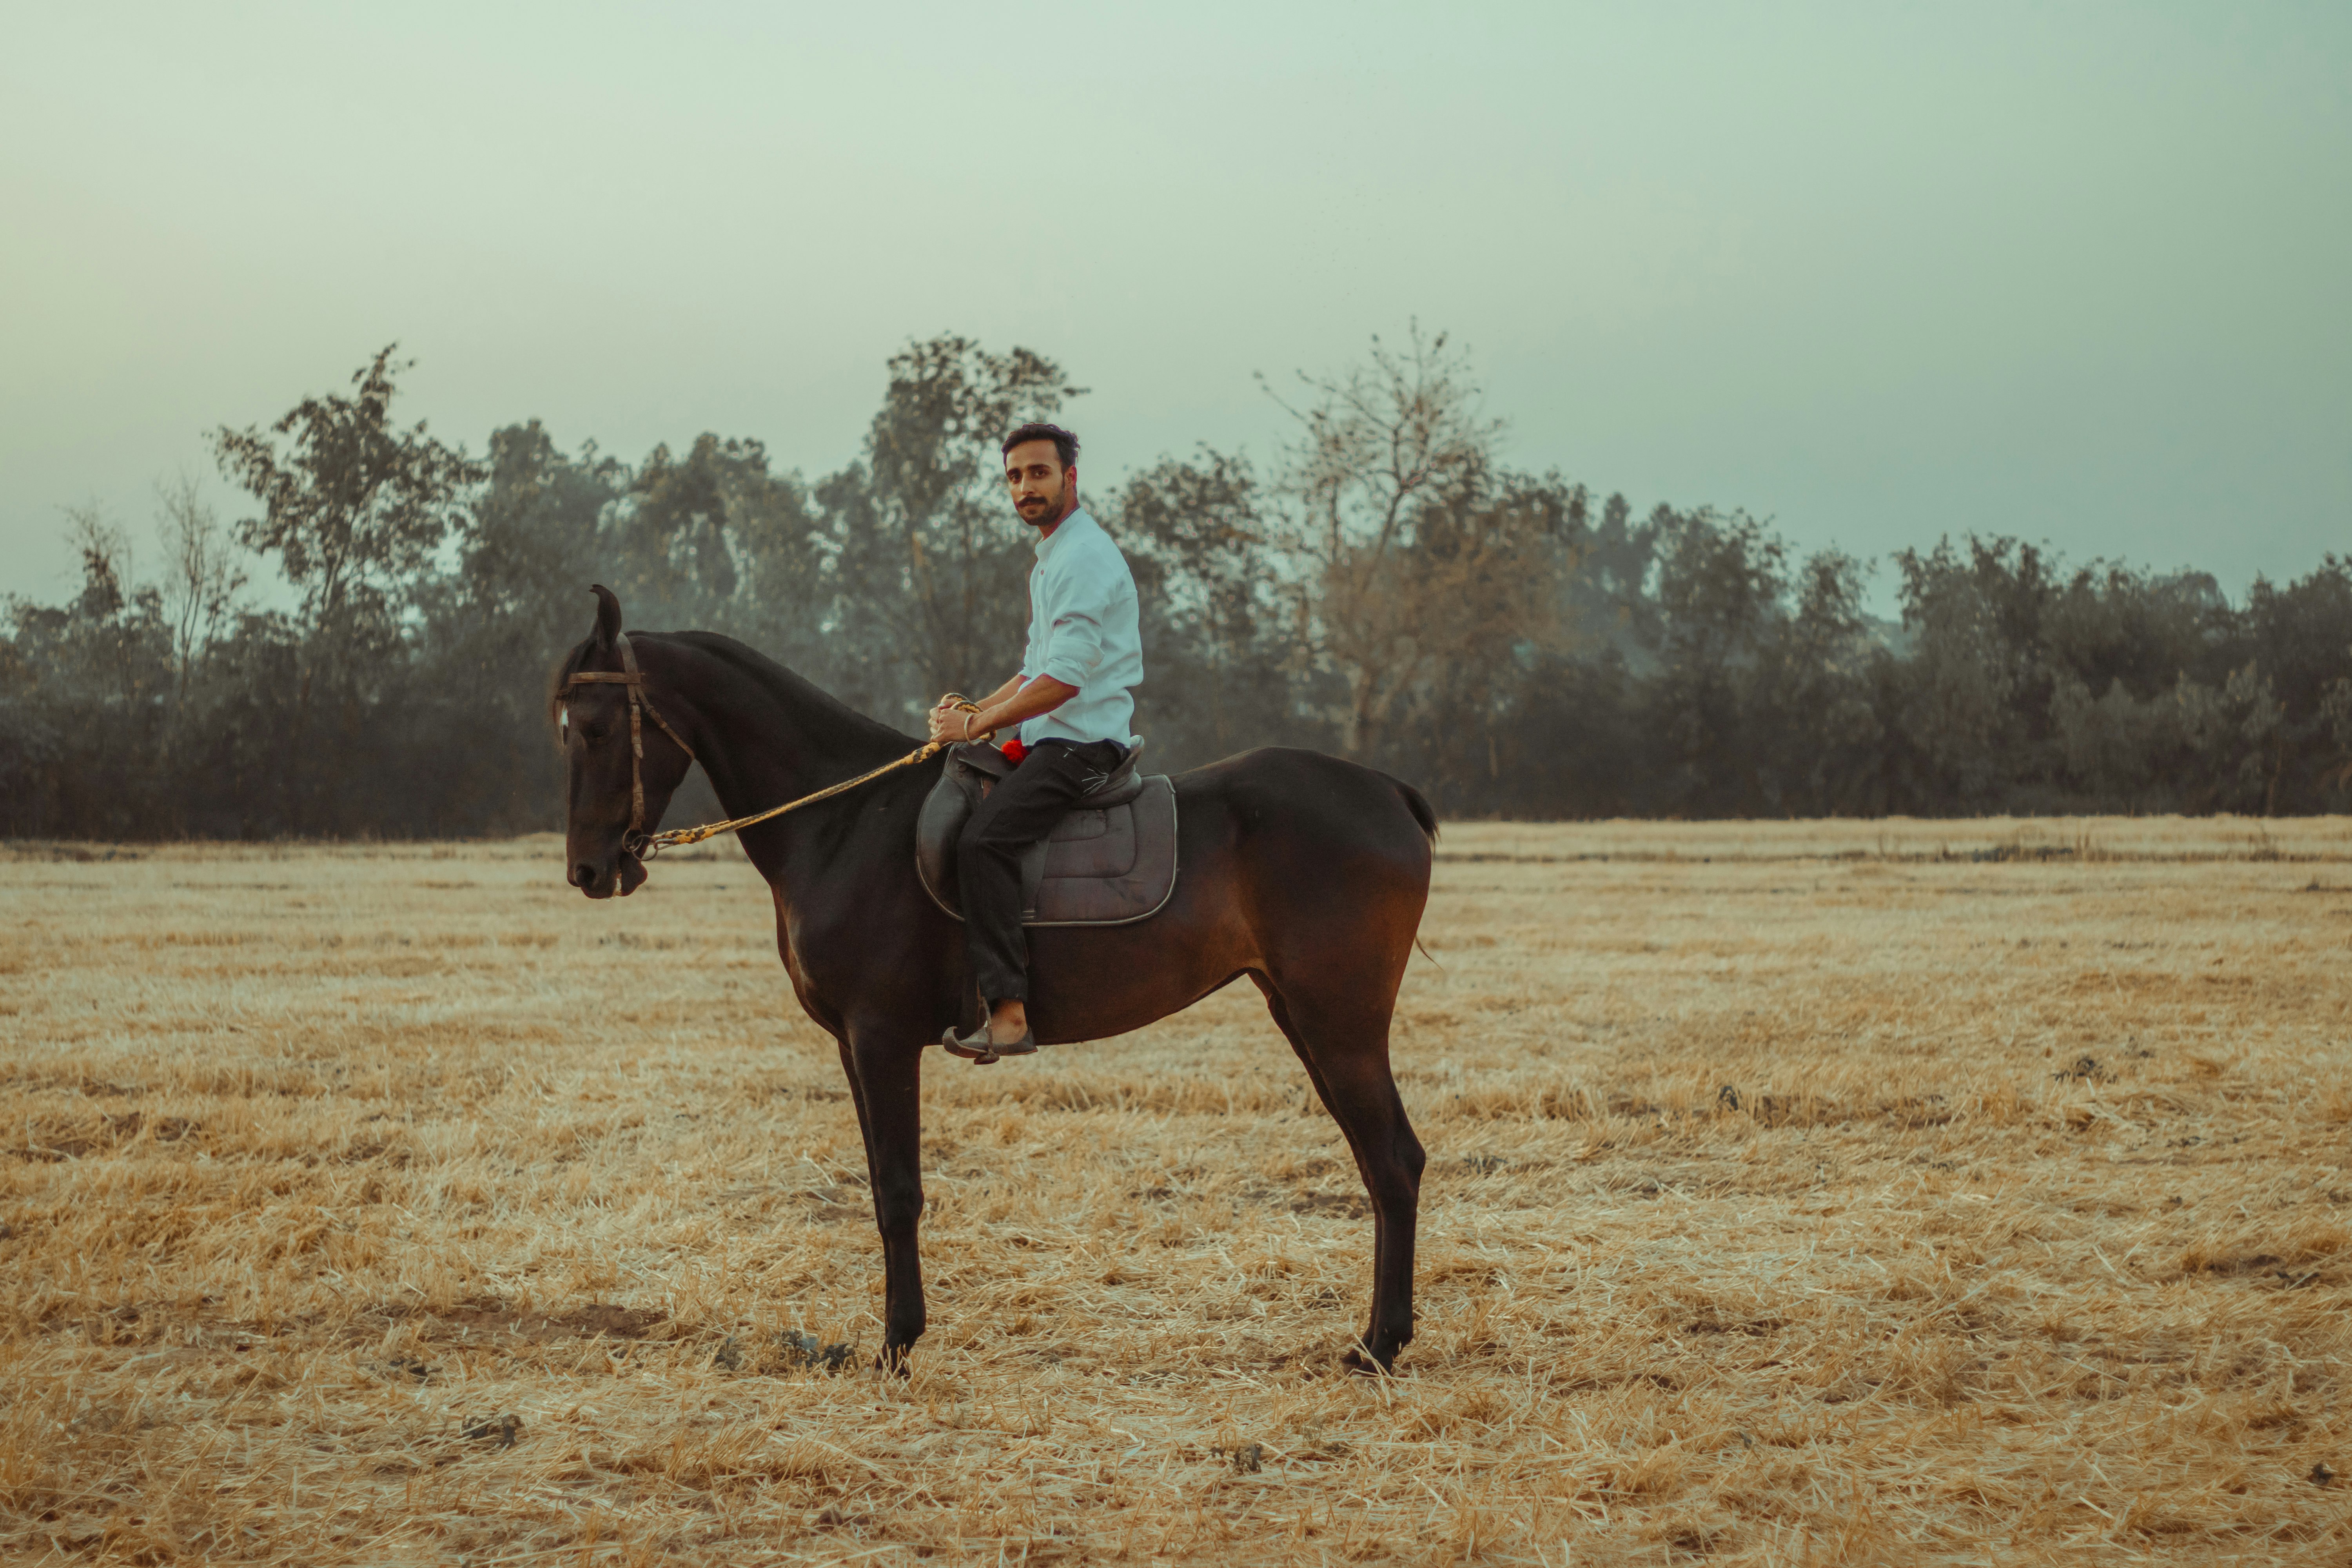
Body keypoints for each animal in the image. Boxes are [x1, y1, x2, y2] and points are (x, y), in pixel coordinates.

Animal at [555, 588, 1430, 1373]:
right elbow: (880, 1186)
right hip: (1303, 1016)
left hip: (1340, 1023)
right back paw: (1378, 1336)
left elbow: (899, 1191)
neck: (844, 823)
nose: (588, 871)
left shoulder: (881, 1038)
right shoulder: (851, 1046)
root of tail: (1388, 790)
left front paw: (897, 1344)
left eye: (595, 729)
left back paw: (1381, 1345)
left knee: (1392, 1162)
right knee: (1377, 1160)